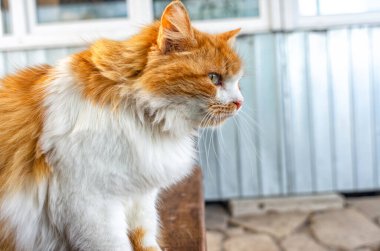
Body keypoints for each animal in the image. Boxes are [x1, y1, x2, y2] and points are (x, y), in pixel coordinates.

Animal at [0, 0, 243, 250]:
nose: (240, 102)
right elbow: (116, 244)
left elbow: (146, 240)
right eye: (214, 78)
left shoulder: (139, 200)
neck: (139, 115)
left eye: (238, 82)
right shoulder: (90, 208)